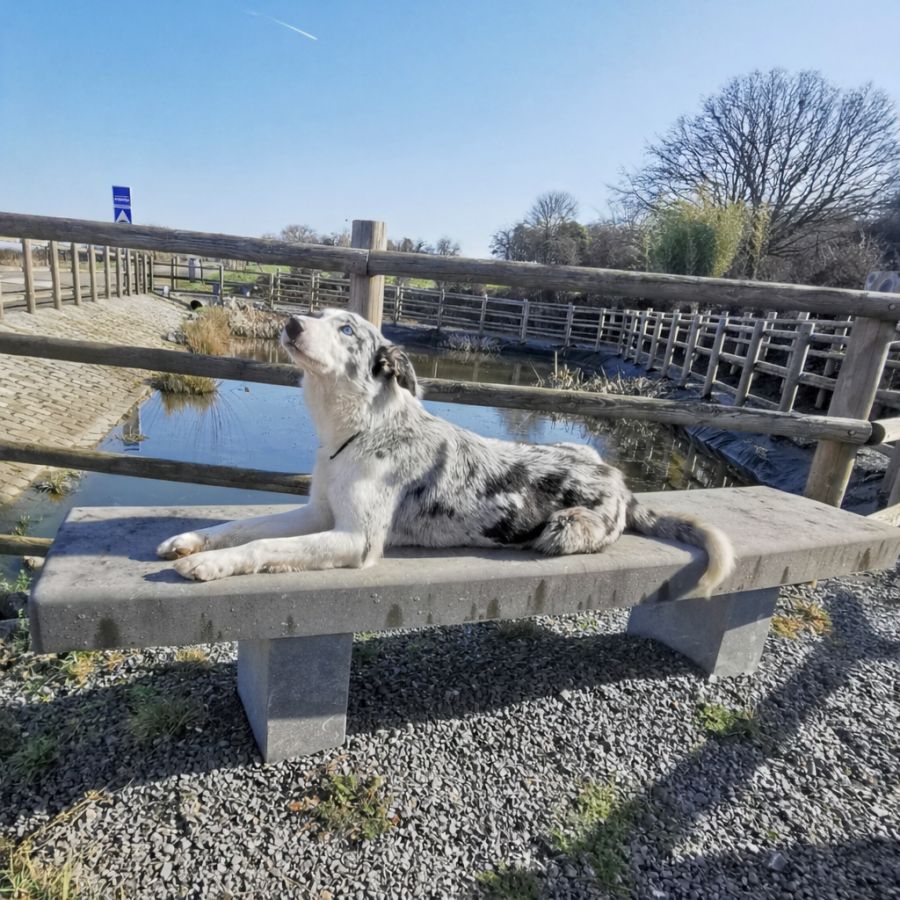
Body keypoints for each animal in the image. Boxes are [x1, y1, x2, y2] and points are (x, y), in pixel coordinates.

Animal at [157, 309, 734, 594]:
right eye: (316, 317)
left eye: (346, 329)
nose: (292, 324)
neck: (357, 431)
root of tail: (623, 484)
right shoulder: (318, 513)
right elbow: (244, 527)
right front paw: (191, 542)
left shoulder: (355, 539)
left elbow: (263, 546)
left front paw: (210, 565)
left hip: (561, 530)